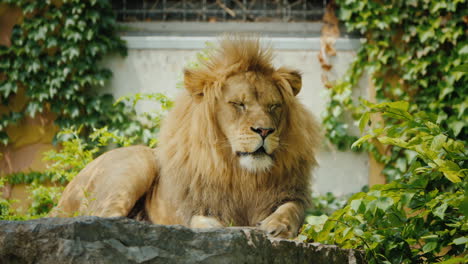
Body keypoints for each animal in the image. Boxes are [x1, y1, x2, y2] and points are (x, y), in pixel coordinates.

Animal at [51, 34, 322, 238]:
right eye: (238, 104)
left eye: (274, 106)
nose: (265, 131)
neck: (242, 174)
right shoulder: (191, 205)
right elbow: (200, 220)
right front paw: (217, 226)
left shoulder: (292, 194)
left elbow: (291, 209)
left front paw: (277, 226)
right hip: (138, 161)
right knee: (104, 217)